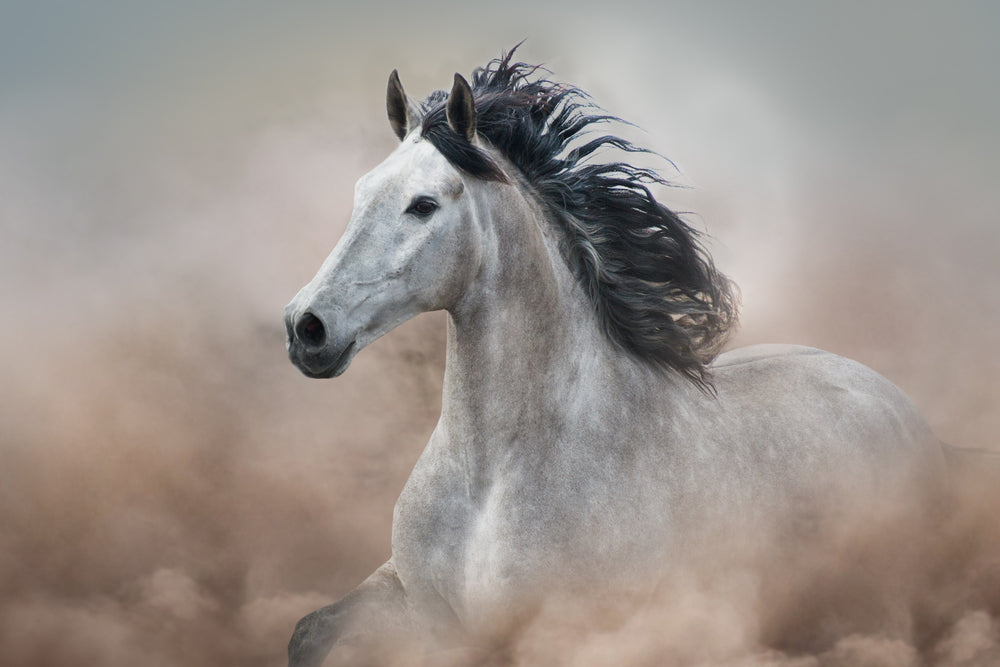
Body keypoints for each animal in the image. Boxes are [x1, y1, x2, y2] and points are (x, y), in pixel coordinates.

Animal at [282, 50, 947, 666]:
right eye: (361, 193)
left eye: (423, 205)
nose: (305, 327)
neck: (490, 480)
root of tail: (900, 405)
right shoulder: (412, 596)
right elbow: (309, 631)